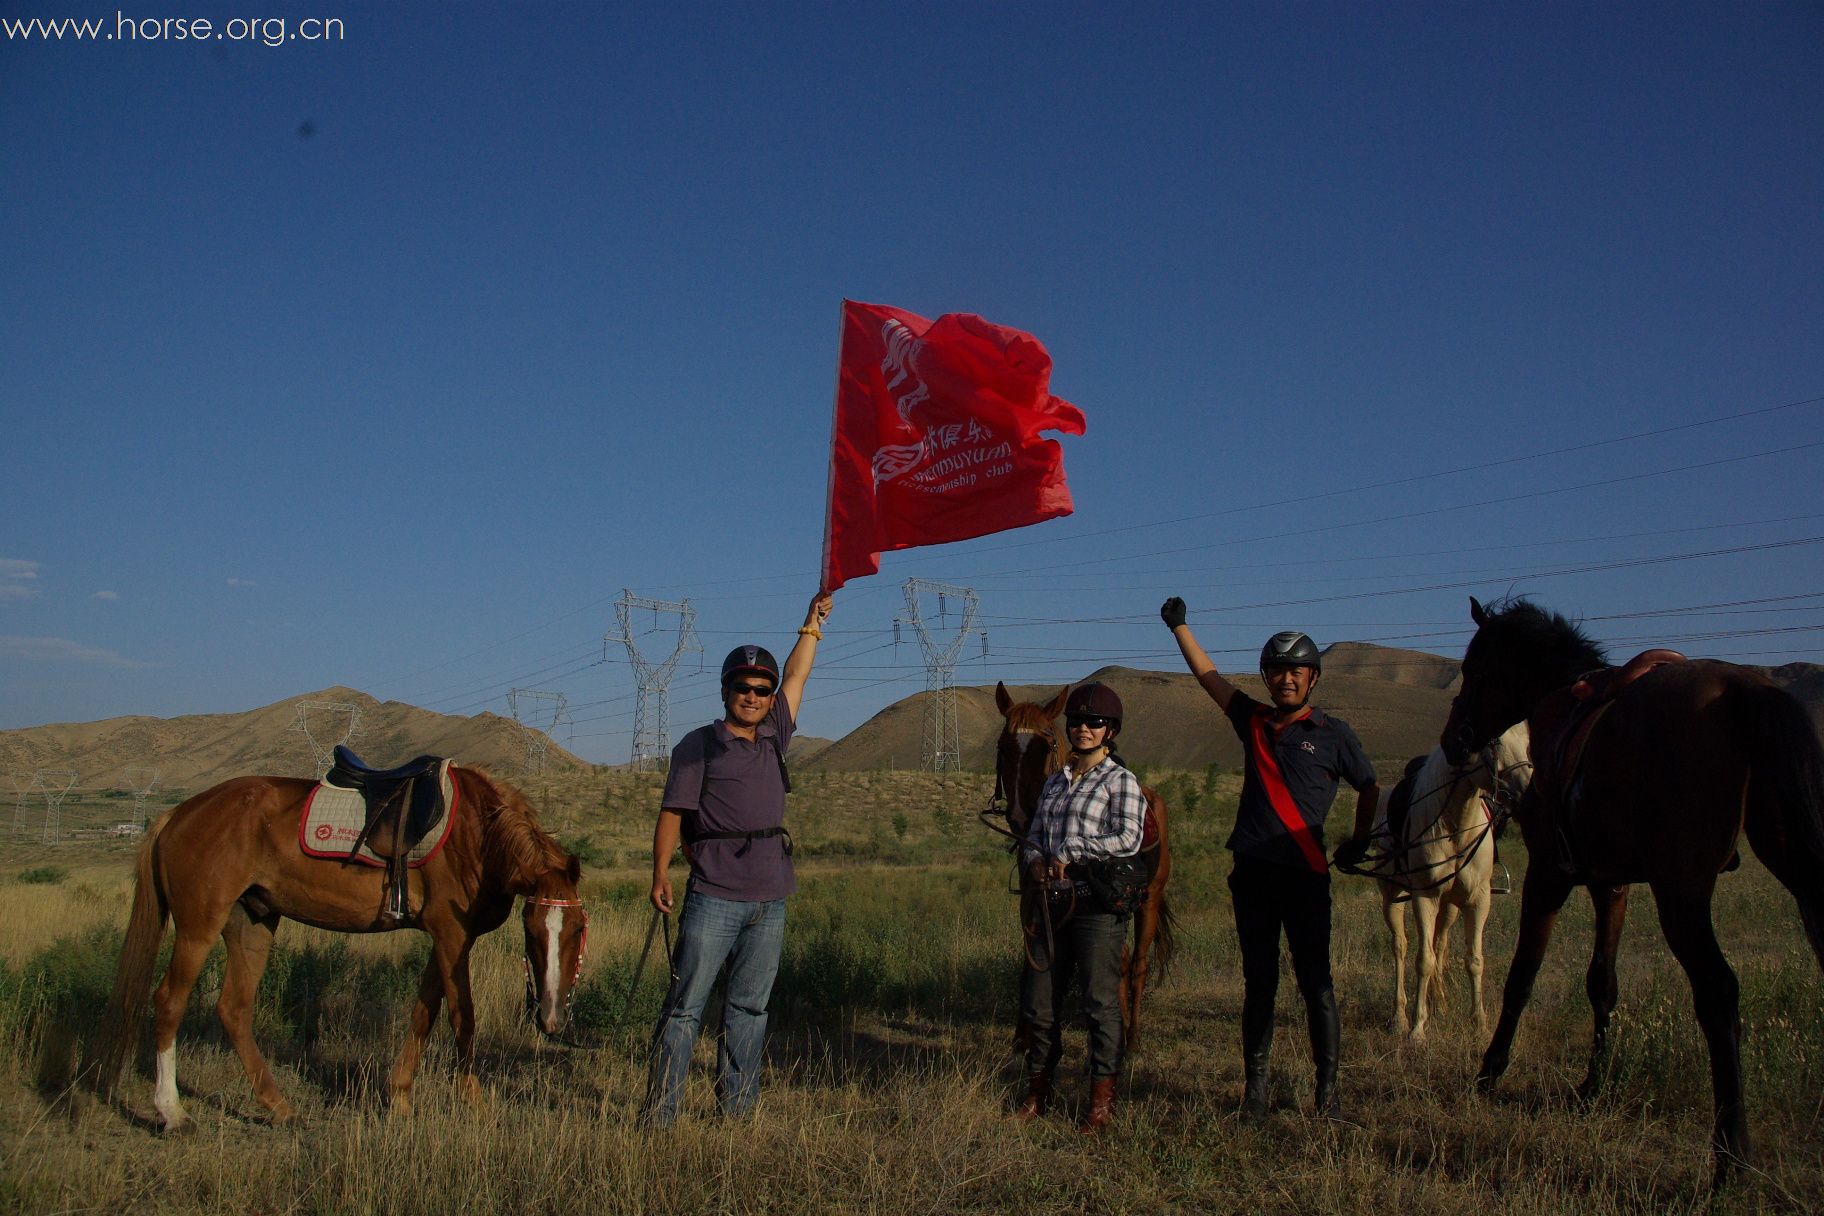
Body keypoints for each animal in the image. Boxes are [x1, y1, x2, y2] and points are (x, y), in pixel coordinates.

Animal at [992, 685, 1174, 1050]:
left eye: (1045, 746)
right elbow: (1032, 963)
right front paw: (1022, 1038)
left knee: (1137, 965)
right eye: (1003, 747)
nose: (1019, 818)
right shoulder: (1032, 897)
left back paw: (1131, 1038)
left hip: (1149, 900)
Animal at [1371, 721, 1532, 1050]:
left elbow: (1473, 960)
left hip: (1450, 907)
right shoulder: (1424, 897)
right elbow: (1423, 960)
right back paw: (1399, 1017)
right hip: (1392, 898)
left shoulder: (1478, 901)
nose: (1528, 790)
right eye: (1495, 741)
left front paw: (1479, 1025)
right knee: (1401, 947)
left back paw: (1441, 1004)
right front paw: (1417, 1028)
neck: (1454, 825)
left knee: (1440, 944)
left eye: (1527, 741)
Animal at [1437, 597, 1824, 1188]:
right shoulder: (1610, 883)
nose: (1453, 738)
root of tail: (1746, 690)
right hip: (1792, 864)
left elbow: (1522, 977)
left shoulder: (1548, 876)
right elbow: (1603, 984)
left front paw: (1489, 1071)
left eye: (1473, 669)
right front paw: (1591, 1087)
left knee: (1719, 993)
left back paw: (1731, 1156)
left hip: (1682, 892)